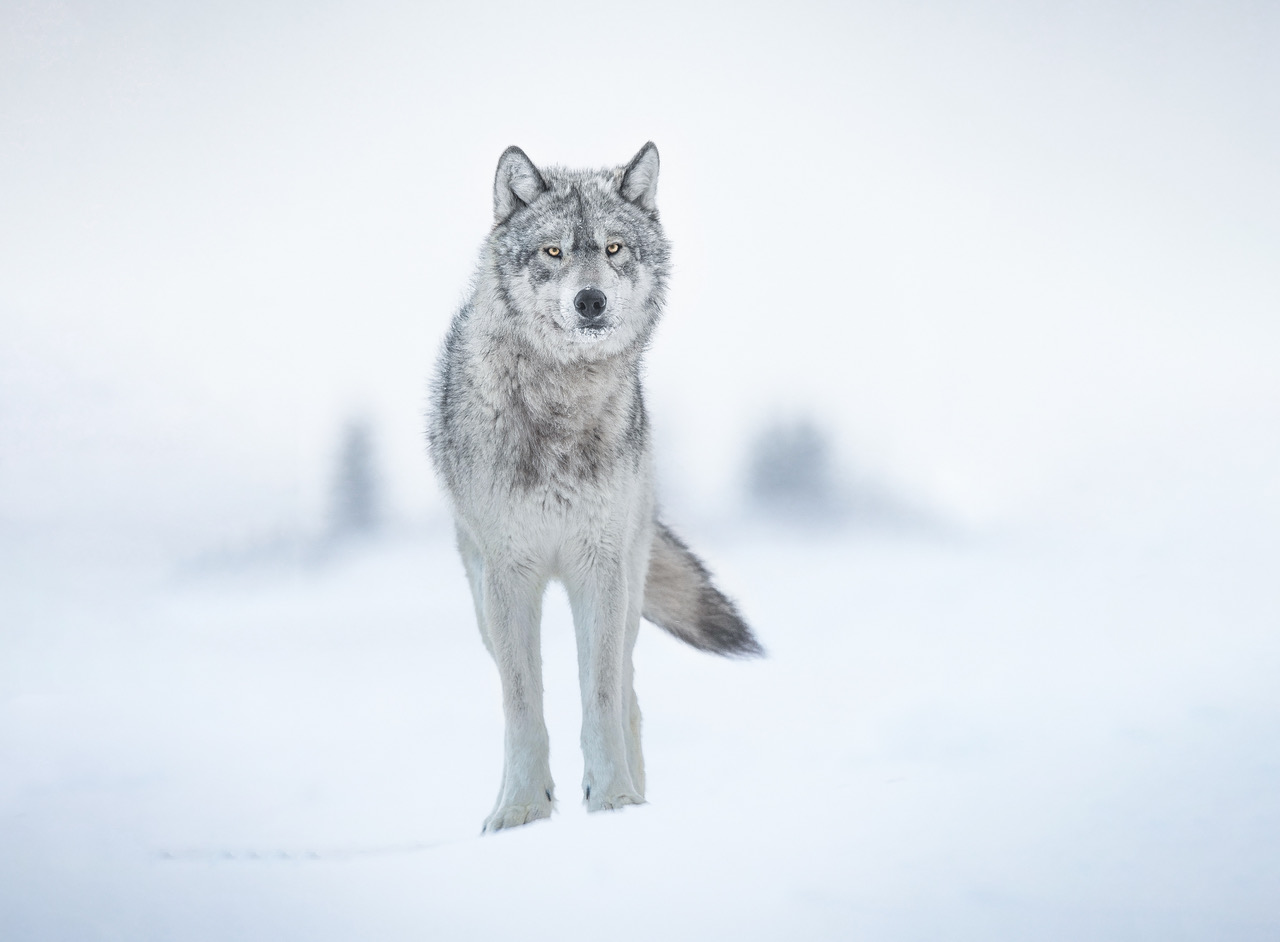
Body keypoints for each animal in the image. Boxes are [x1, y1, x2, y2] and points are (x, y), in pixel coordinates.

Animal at [427, 143, 762, 833]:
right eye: (554, 251)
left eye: (612, 248)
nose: (590, 302)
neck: (560, 407)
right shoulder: (509, 577)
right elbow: (522, 707)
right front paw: (521, 810)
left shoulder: (598, 569)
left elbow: (602, 698)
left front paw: (614, 801)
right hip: (481, 596)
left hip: (628, 587)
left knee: (627, 692)